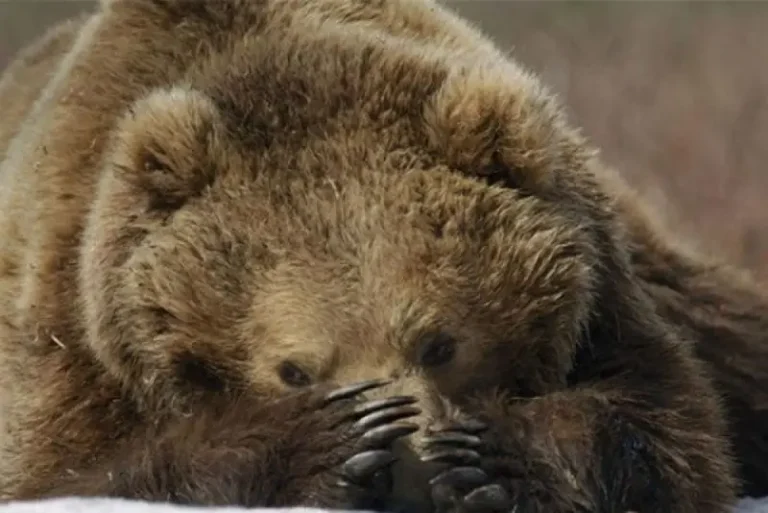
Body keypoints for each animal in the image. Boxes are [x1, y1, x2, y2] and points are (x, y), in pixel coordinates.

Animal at [0, 1, 766, 512]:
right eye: (293, 369)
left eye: (438, 342)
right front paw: (329, 441)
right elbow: (63, 467)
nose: (410, 475)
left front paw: (488, 457)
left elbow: (666, 426)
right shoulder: (74, 324)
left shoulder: (601, 288)